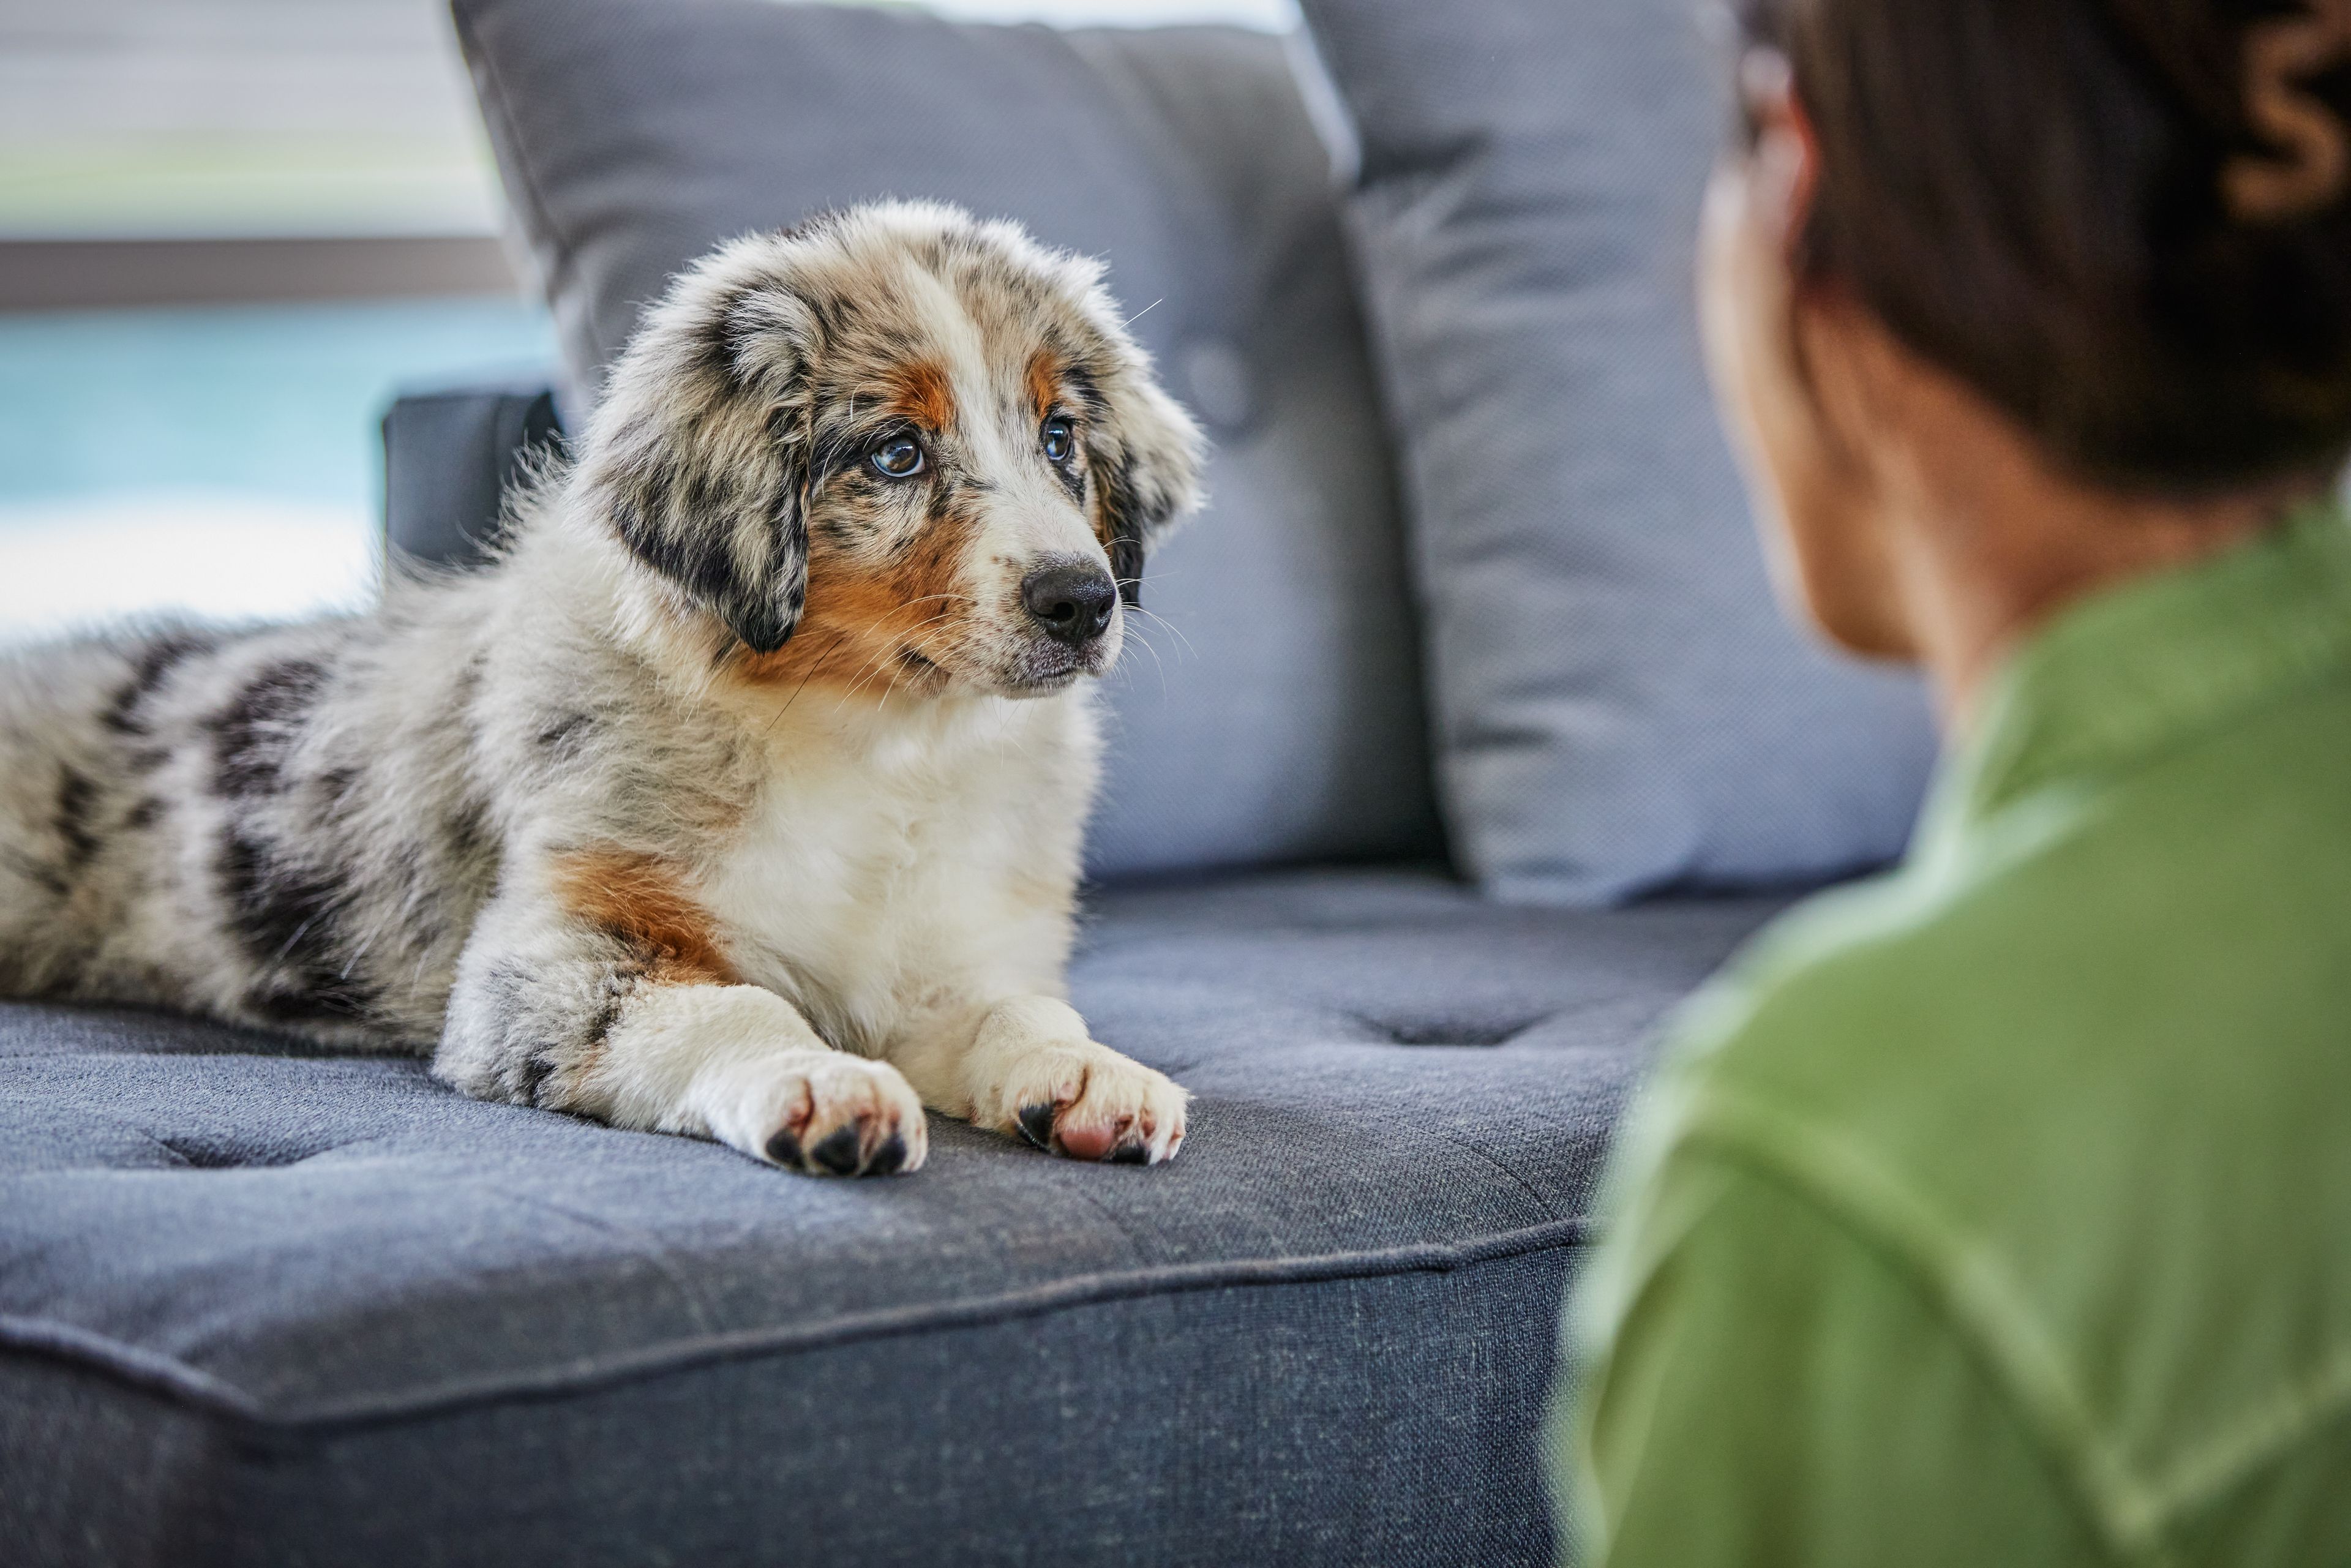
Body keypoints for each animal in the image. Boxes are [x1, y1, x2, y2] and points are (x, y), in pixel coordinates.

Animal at [0, 200, 1204, 1175]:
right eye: (896, 454)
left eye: (1061, 437)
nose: (1083, 602)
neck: (878, 742)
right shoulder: (547, 953)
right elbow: (735, 1004)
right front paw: (824, 1082)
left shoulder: (948, 952)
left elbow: (1015, 1007)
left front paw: (1085, 1073)